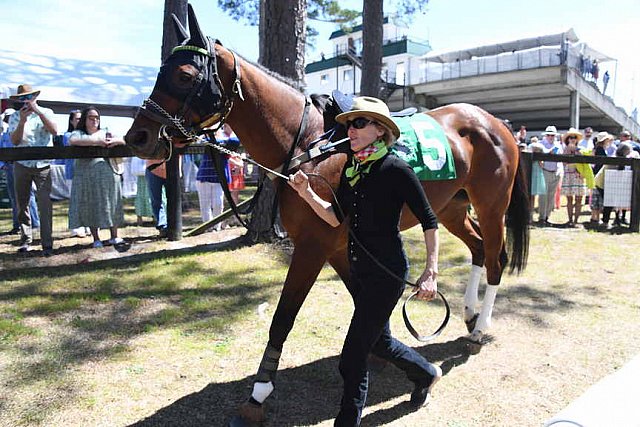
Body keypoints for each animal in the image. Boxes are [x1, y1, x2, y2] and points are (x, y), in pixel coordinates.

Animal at [125, 4, 528, 424]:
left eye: (185, 75)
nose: (137, 137)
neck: (308, 143)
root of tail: (495, 122)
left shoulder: (312, 247)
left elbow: (283, 318)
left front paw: (259, 393)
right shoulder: (340, 250)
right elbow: (374, 324)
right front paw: (407, 367)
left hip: (491, 205)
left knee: (496, 258)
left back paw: (480, 327)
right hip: (451, 207)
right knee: (478, 248)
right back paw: (469, 313)